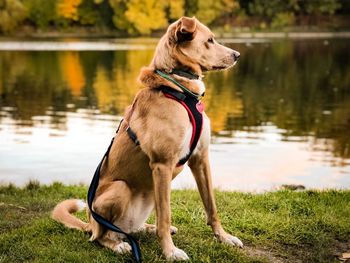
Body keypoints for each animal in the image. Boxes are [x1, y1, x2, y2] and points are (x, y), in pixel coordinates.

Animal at [52, 17, 242, 262]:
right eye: (209, 40)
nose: (237, 54)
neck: (177, 89)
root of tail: (90, 222)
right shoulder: (162, 165)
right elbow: (166, 216)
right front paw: (170, 251)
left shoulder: (200, 159)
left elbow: (211, 206)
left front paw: (224, 237)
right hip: (122, 189)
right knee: (102, 237)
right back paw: (118, 245)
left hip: (151, 192)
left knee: (131, 229)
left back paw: (146, 229)